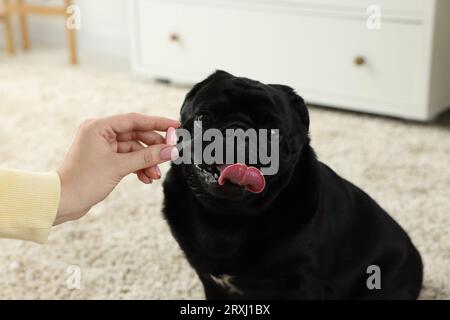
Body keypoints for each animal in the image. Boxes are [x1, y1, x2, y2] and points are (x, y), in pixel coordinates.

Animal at [163, 70, 422, 300]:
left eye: (272, 132)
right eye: (204, 117)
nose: (238, 131)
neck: (226, 218)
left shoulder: (303, 285)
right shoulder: (211, 283)